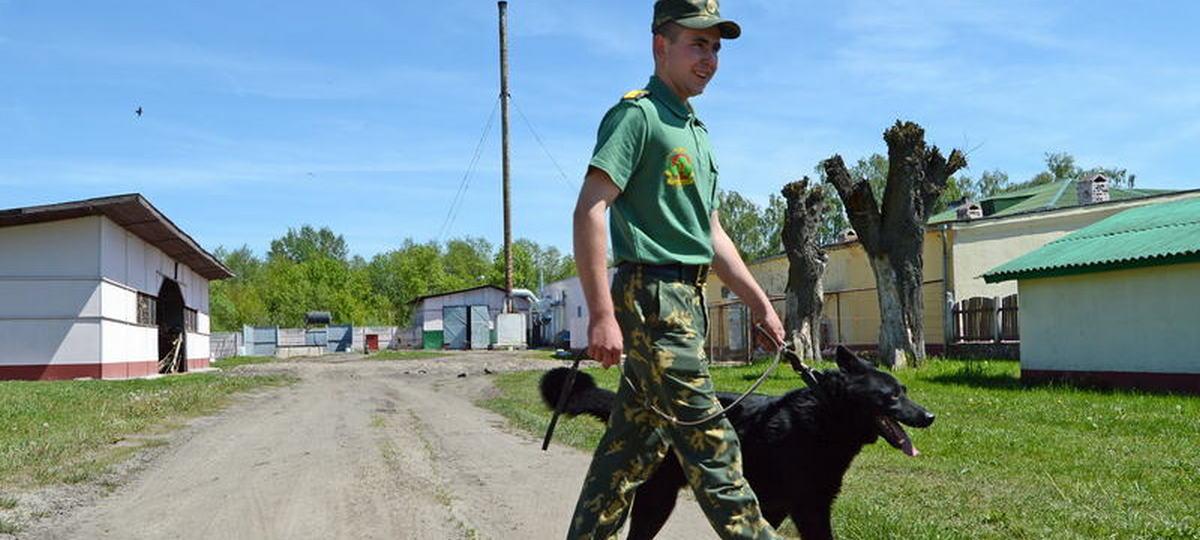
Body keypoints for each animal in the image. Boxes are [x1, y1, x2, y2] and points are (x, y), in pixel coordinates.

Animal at [544, 345, 936, 540]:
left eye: (905, 390)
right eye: (892, 396)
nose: (930, 416)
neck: (827, 413)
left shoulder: (775, 506)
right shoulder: (808, 508)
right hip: (658, 498)